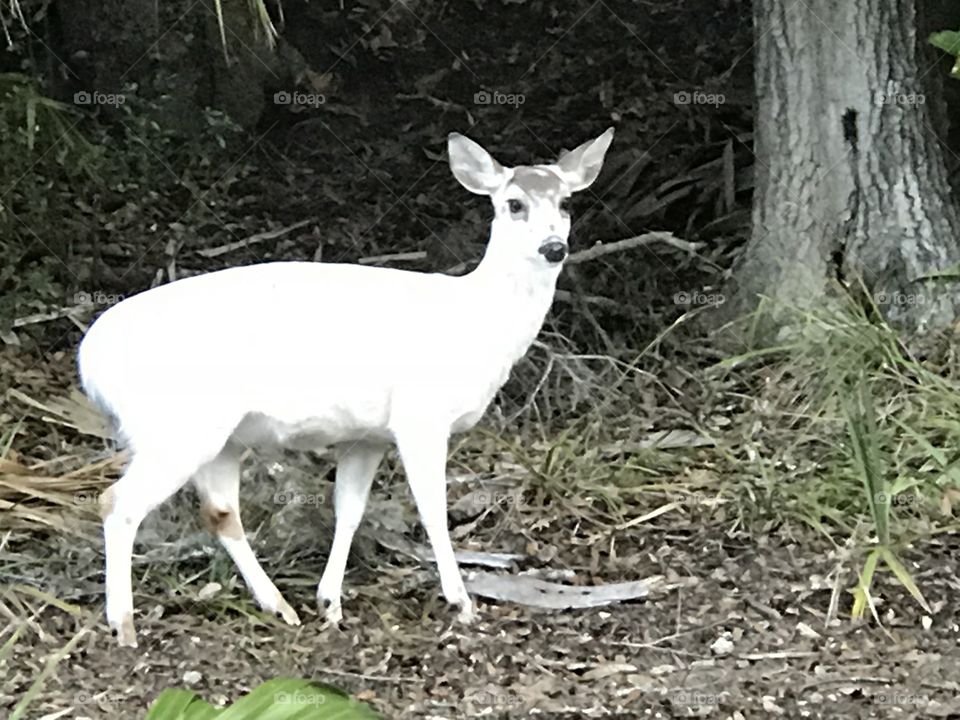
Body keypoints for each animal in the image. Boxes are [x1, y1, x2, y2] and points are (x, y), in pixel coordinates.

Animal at [79, 128, 612, 648]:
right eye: (514, 203)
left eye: (567, 201)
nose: (554, 247)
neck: (481, 323)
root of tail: (89, 361)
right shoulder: (421, 416)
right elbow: (433, 510)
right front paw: (461, 603)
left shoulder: (369, 434)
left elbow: (349, 511)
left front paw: (330, 604)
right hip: (176, 426)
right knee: (118, 503)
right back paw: (123, 626)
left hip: (215, 436)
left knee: (221, 512)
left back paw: (280, 606)